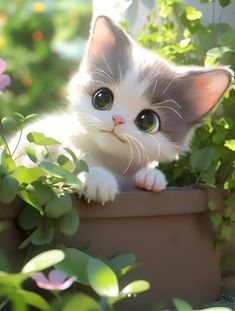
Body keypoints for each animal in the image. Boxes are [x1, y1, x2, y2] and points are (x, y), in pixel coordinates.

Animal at [11, 15, 233, 205]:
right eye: (102, 98)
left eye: (147, 121)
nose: (117, 119)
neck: (111, 160)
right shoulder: (41, 156)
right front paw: (97, 178)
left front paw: (151, 176)